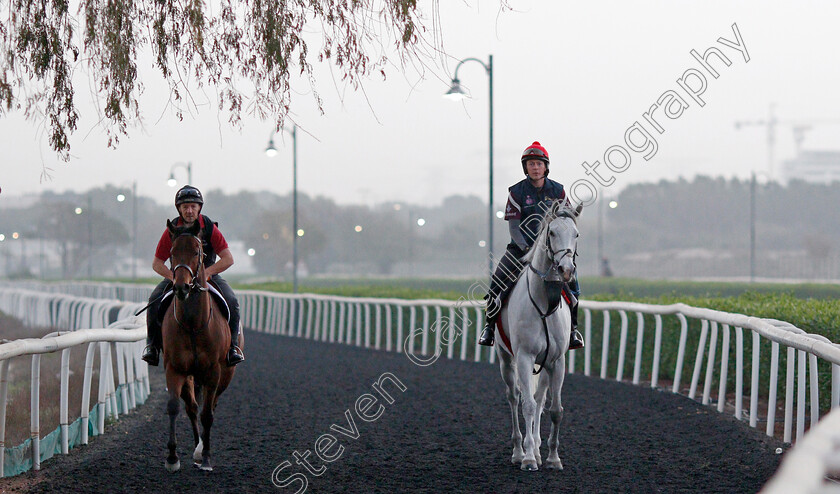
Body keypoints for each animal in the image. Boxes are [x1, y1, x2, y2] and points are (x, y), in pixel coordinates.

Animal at [161, 219, 241, 470]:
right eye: (172, 252)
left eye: (197, 252)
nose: (181, 287)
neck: (193, 324)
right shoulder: (175, 368)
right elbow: (174, 407)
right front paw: (172, 457)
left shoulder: (214, 370)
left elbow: (208, 413)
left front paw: (206, 456)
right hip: (190, 376)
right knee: (192, 407)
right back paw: (195, 448)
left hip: (225, 374)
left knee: (210, 406)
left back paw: (201, 450)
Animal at [496, 198, 580, 470]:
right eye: (551, 232)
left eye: (576, 234)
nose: (566, 269)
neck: (544, 304)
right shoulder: (524, 356)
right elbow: (528, 405)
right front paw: (529, 458)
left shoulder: (557, 360)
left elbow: (554, 409)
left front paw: (553, 458)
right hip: (505, 358)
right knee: (514, 397)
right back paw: (519, 450)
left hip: (544, 364)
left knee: (540, 398)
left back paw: (538, 448)